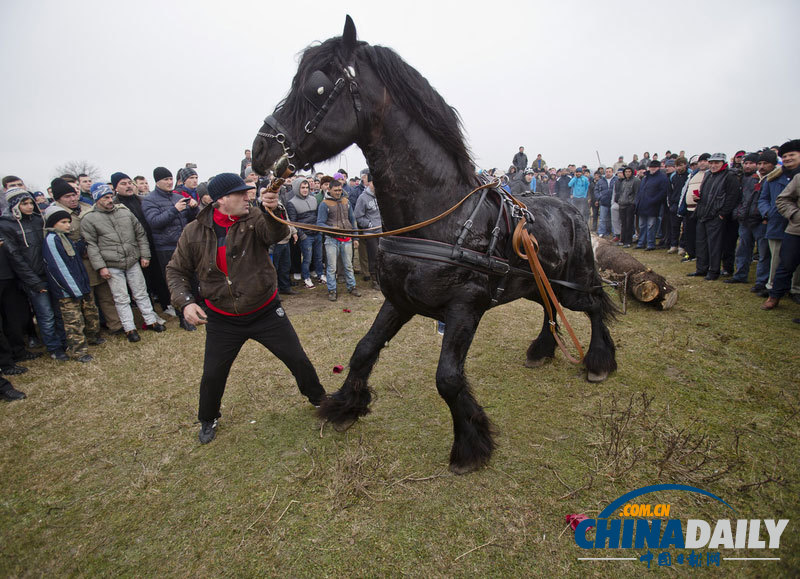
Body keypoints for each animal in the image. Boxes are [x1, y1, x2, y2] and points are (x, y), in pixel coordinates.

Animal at [253, 15, 616, 474]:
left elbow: (447, 378)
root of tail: (570, 208)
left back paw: (599, 362)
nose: (260, 148)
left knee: (594, 305)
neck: (439, 218)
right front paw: (346, 406)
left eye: (317, 88)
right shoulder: (399, 300)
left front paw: (470, 444)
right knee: (551, 310)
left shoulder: (465, 306)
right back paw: (542, 350)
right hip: (536, 285)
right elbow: (363, 350)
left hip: (571, 284)